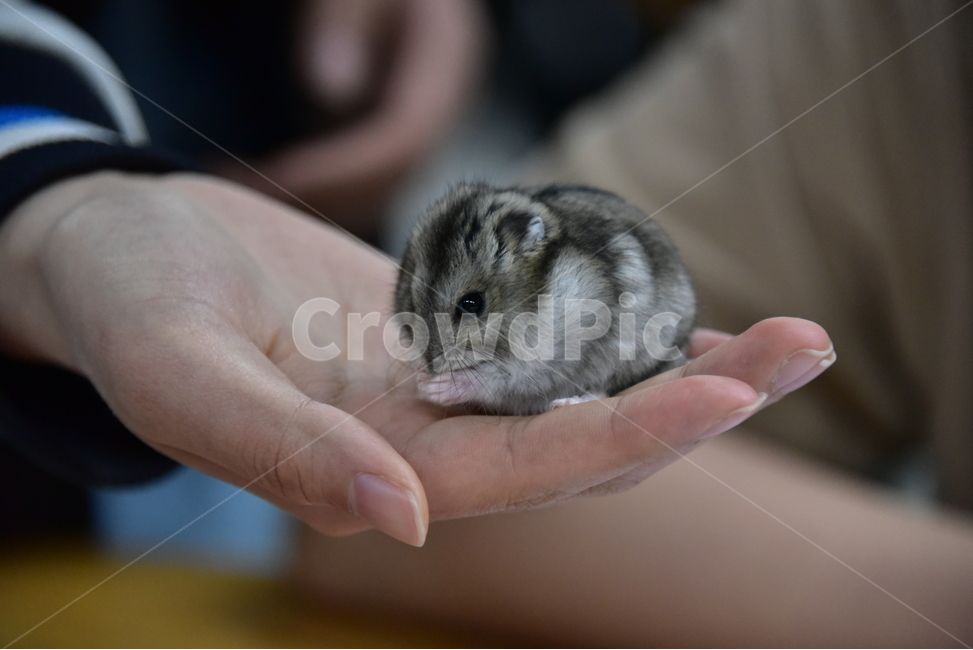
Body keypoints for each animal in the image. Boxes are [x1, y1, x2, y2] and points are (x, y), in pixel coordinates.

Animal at [393, 182, 696, 415]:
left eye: (472, 303)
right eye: (411, 301)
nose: (432, 367)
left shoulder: (546, 363)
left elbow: (497, 379)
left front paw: (431, 388)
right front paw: (419, 375)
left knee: (605, 387)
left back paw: (566, 403)